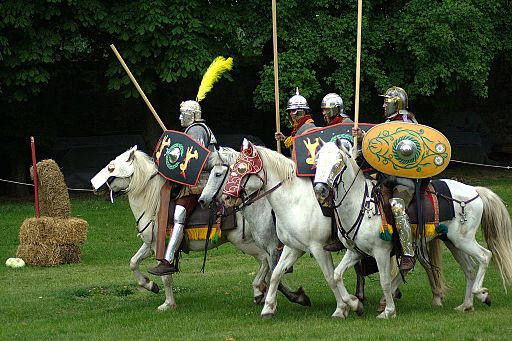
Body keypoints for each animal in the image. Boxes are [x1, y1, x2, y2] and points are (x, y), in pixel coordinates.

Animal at [91, 145, 308, 310]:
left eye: (111, 168)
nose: (96, 188)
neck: (152, 200)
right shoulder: (150, 244)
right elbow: (133, 262)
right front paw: (149, 285)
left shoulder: (159, 246)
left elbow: (166, 275)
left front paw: (168, 303)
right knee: (272, 264)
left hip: (245, 241)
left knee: (266, 260)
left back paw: (261, 290)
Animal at [314, 139, 512, 318]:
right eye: (317, 160)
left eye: (337, 162)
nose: (320, 190)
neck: (362, 204)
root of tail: (475, 191)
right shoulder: (356, 251)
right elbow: (337, 275)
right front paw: (354, 304)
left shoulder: (381, 252)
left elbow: (384, 281)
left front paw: (388, 311)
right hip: (453, 241)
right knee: (469, 268)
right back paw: (466, 304)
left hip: (464, 240)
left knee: (485, 256)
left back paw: (482, 294)